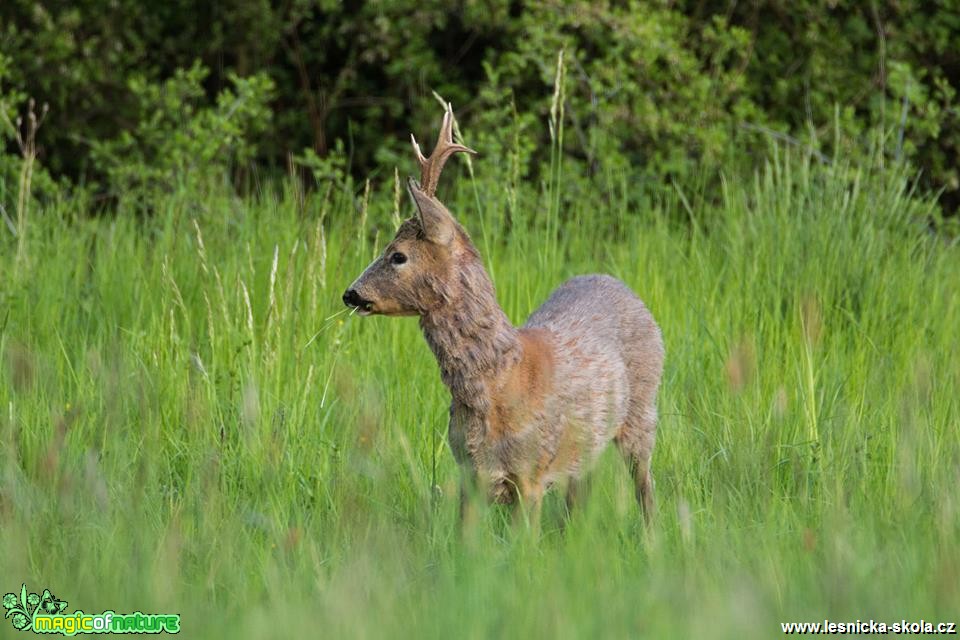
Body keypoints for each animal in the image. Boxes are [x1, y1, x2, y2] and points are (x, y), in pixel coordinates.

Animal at [344, 102, 668, 528]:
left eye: (397, 255)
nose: (350, 293)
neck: (499, 384)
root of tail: (623, 286)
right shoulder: (470, 472)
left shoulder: (531, 473)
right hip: (585, 447)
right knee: (579, 496)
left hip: (642, 411)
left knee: (645, 486)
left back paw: (652, 536)